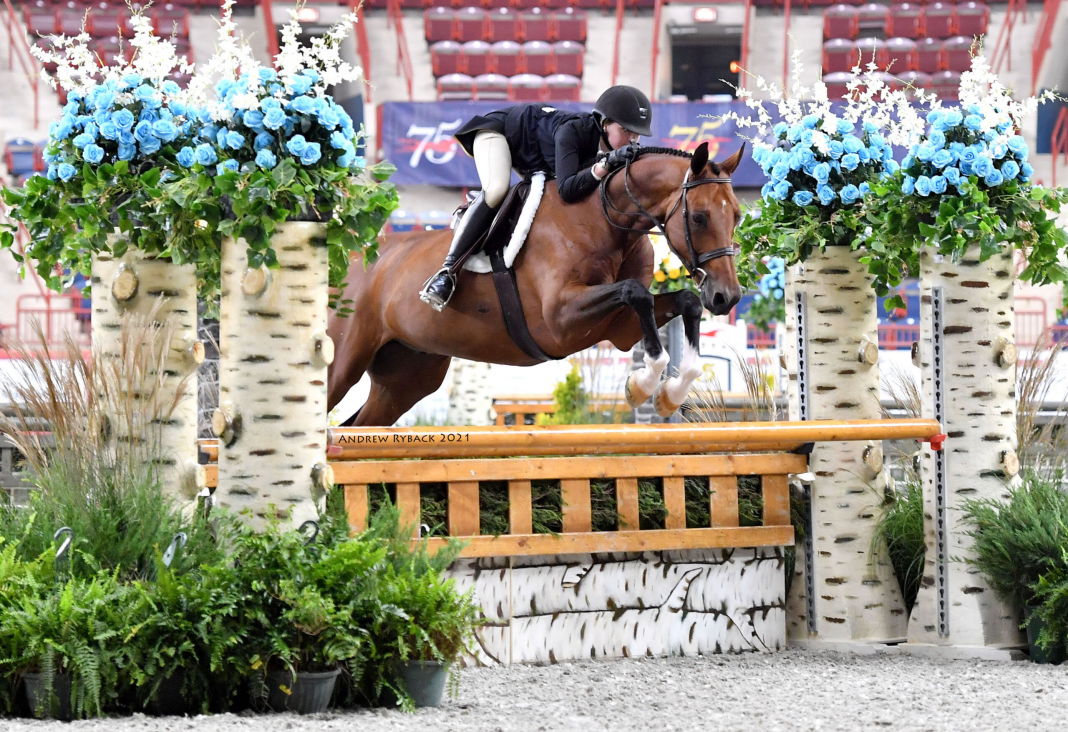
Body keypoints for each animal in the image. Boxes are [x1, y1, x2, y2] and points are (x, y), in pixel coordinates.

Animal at [326, 141, 745, 427]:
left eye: (738, 215)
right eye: (700, 217)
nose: (726, 297)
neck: (604, 219)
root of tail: (347, 257)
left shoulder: (619, 327)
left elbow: (684, 301)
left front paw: (670, 394)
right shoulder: (560, 321)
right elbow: (635, 292)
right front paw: (641, 386)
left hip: (407, 378)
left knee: (360, 427)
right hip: (343, 364)